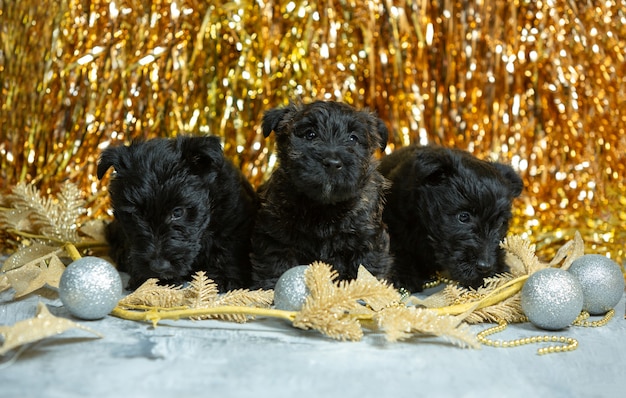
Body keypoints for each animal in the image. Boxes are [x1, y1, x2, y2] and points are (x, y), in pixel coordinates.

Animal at [96, 135, 255, 290]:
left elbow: (228, 248)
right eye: (136, 215)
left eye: (177, 212)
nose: (158, 267)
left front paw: (225, 276)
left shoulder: (233, 222)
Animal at [249, 99, 390, 288]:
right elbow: (277, 267)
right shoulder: (275, 238)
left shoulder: (367, 240)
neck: (324, 206)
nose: (332, 163)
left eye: (353, 138)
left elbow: (366, 269)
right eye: (310, 134)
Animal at [378, 146, 524, 292]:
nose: (485, 267)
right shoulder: (394, 221)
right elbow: (397, 248)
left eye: (500, 223)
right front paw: (404, 276)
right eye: (463, 217)